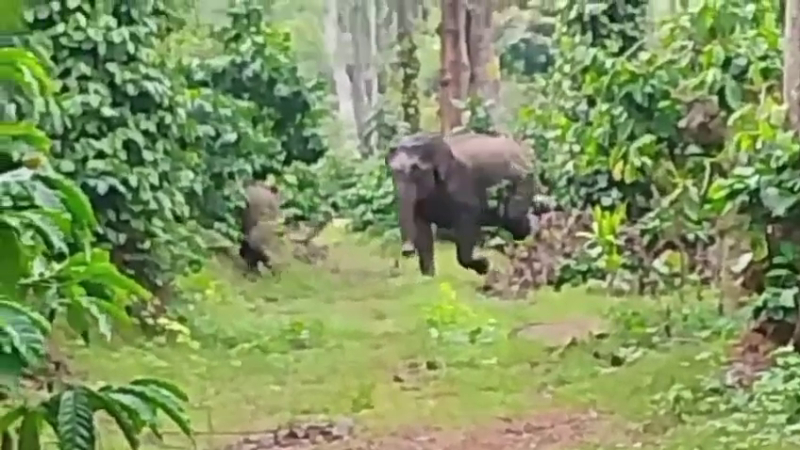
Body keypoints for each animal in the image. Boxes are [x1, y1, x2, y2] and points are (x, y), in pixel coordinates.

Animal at [385, 131, 548, 277]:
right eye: (394, 171)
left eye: (416, 169)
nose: (407, 251)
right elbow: (422, 232)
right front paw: (429, 279)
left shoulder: (462, 188)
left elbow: (468, 224)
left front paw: (485, 267)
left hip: (522, 180)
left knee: (514, 219)